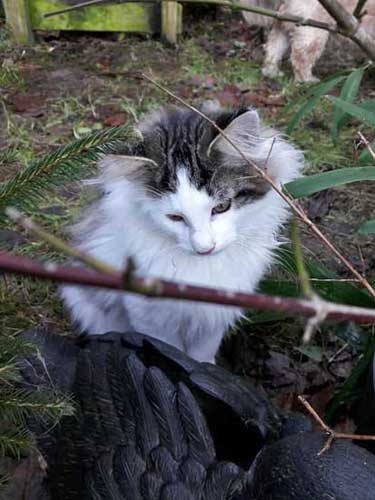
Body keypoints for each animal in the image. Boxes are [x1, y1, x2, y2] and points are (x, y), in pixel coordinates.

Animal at [60, 105, 304, 364]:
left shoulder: (214, 314)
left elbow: (202, 353)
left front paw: (204, 369)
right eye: (175, 218)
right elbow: (168, 348)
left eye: (221, 207)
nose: (205, 248)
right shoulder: (148, 312)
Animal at [241, 0, 375, 81]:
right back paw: (307, 81)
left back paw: (271, 72)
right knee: (301, 57)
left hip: (285, 23)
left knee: (273, 48)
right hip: (313, 30)